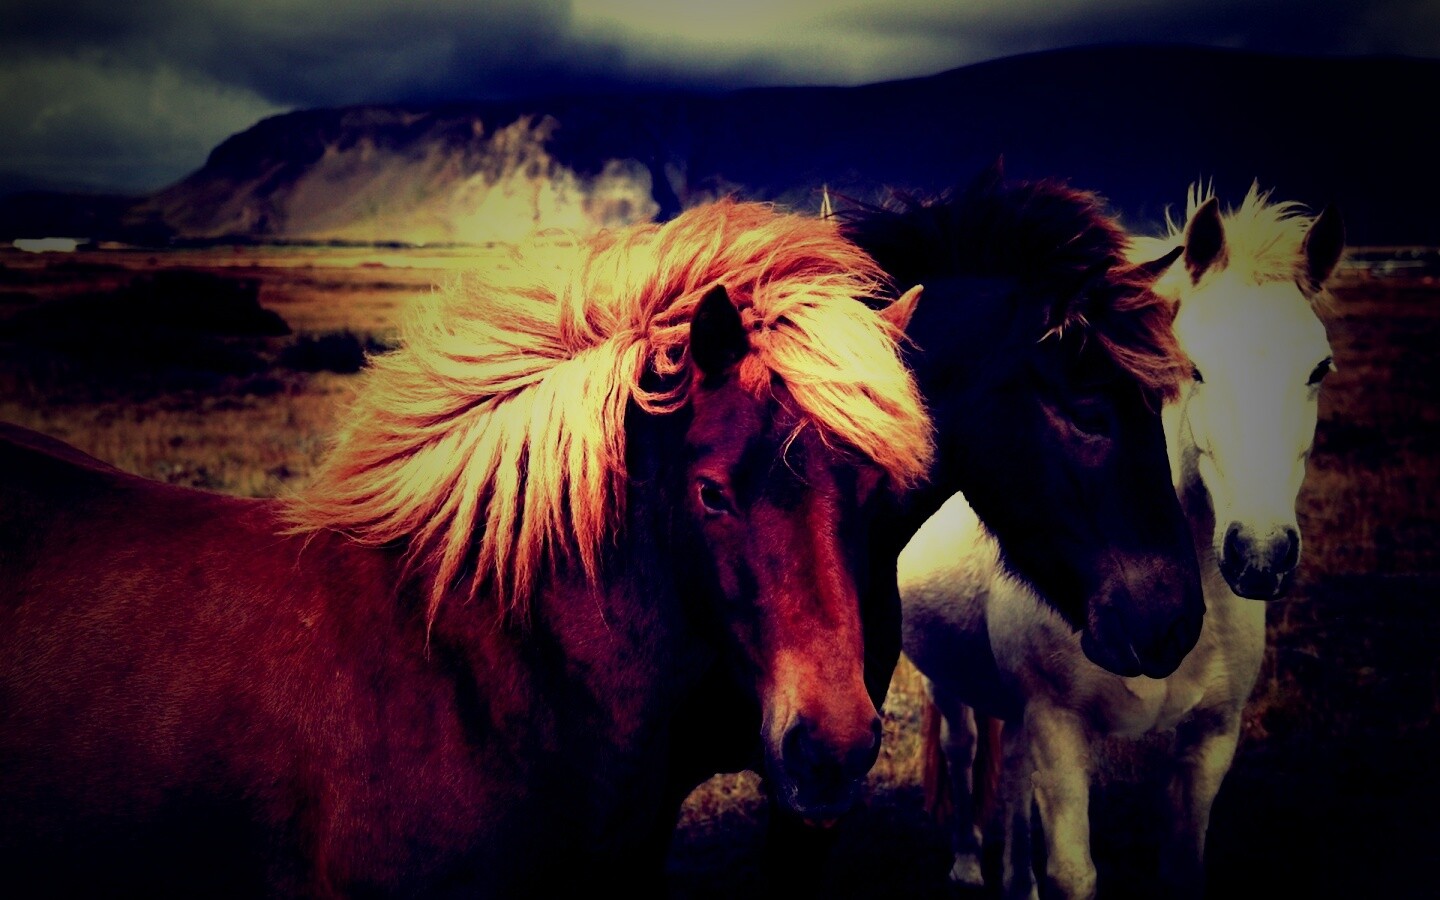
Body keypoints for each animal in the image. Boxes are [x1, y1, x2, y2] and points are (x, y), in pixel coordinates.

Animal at [900, 182, 1345, 898]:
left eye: (1320, 368)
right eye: (1194, 368)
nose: (1260, 556)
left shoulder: (1210, 740)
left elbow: (1183, 863)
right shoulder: (1060, 730)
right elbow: (1073, 874)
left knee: (1013, 771)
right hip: (948, 679)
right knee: (962, 747)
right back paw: (967, 863)